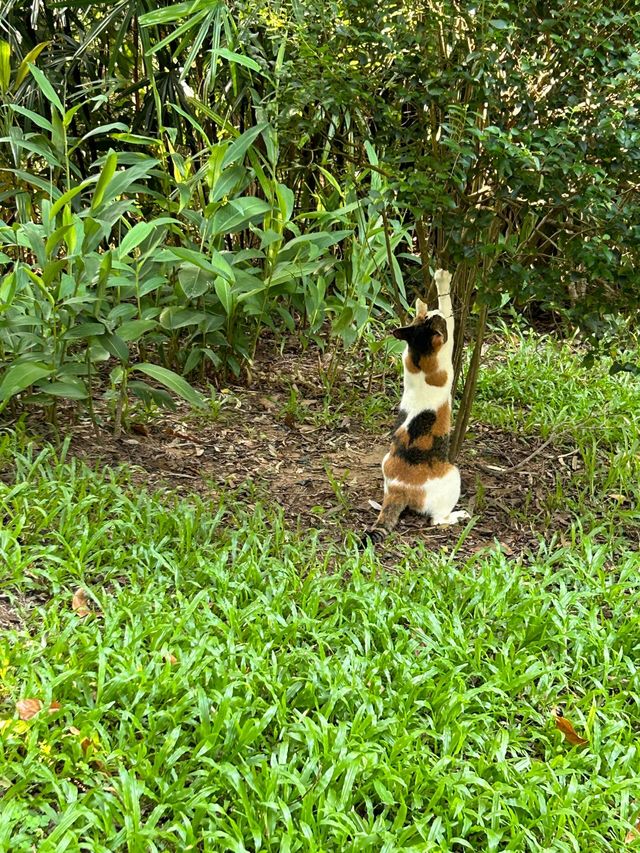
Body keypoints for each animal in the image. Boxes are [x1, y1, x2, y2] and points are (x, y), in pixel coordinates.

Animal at [364, 270, 470, 544]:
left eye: (427, 318)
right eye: (434, 320)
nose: (431, 311)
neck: (419, 357)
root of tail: (398, 489)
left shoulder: (406, 355)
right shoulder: (447, 348)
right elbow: (450, 311)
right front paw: (442, 280)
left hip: (384, 461)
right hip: (453, 475)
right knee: (437, 520)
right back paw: (459, 515)